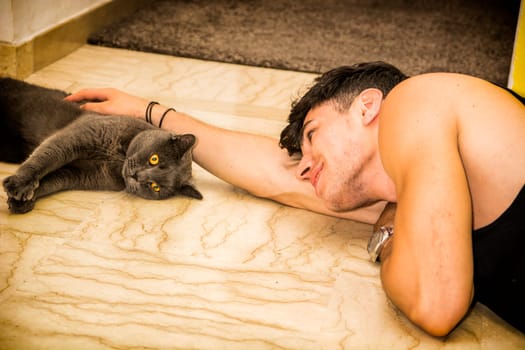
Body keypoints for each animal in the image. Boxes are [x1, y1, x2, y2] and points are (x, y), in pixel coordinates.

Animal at [0, 77, 202, 213]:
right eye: (154, 159)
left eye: (155, 187)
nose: (137, 176)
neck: (117, 159)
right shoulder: (76, 136)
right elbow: (45, 158)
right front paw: (20, 185)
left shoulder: (80, 174)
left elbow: (51, 180)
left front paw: (22, 200)